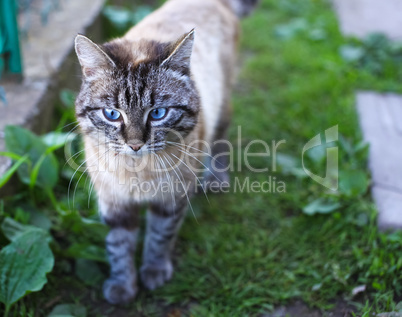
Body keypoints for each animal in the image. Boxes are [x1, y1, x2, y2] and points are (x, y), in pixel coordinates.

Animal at [74, 0, 258, 304]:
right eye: (112, 114)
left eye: (158, 113)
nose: (135, 144)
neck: (138, 174)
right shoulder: (115, 203)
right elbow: (118, 247)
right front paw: (122, 287)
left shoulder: (171, 199)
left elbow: (159, 237)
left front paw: (154, 272)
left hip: (223, 104)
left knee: (221, 139)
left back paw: (216, 179)